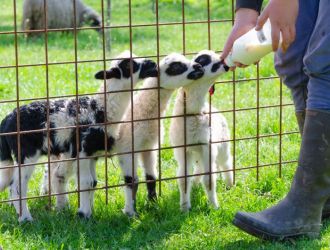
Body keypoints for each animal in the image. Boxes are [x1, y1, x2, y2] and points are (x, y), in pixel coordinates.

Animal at [0, 50, 159, 221]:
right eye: (129, 65)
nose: (153, 64)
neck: (100, 109)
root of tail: (7, 120)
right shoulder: (82, 149)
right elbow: (85, 182)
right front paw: (83, 215)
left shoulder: (92, 153)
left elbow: (93, 183)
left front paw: (88, 211)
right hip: (26, 152)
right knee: (17, 186)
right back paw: (26, 219)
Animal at [114, 51, 205, 216]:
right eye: (175, 67)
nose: (198, 67)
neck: (143, 114)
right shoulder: (127, 147)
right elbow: (131, 181)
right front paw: (130, 212)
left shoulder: (149, 146)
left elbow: (151, 177)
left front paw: (153, 203)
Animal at [169, 49, 233, 212]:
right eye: (203, 59)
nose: (225, 63)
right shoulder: (183, 149)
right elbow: (184, 179)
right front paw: (184, 209)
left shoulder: (207, 146)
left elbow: (209, 178)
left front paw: (214, 207)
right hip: (197, 151)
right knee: (199, 167)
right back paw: (196, 184)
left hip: (223, 144)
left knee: (226, 162)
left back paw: (230, 185)